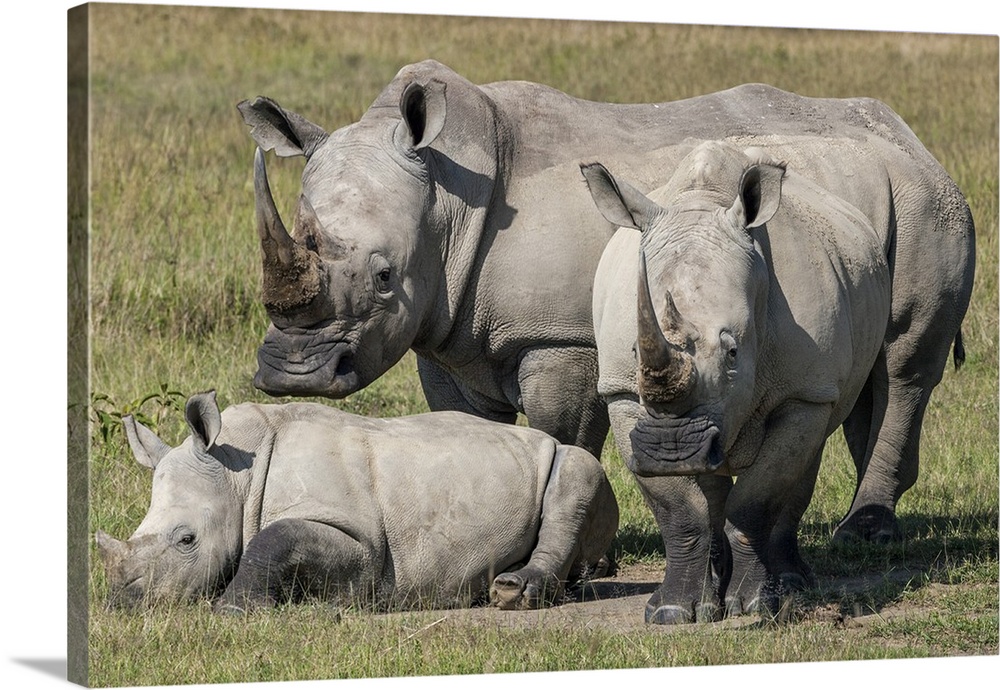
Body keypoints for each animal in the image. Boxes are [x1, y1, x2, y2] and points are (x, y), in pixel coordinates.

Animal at [97, 390, 620, 612]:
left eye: (186, 539)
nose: (123, 602)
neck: (236, 474)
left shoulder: (363, 544)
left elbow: (276, 537)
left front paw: (232, 611)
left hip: (565, 461)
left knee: (575, 470)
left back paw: (511, 594)